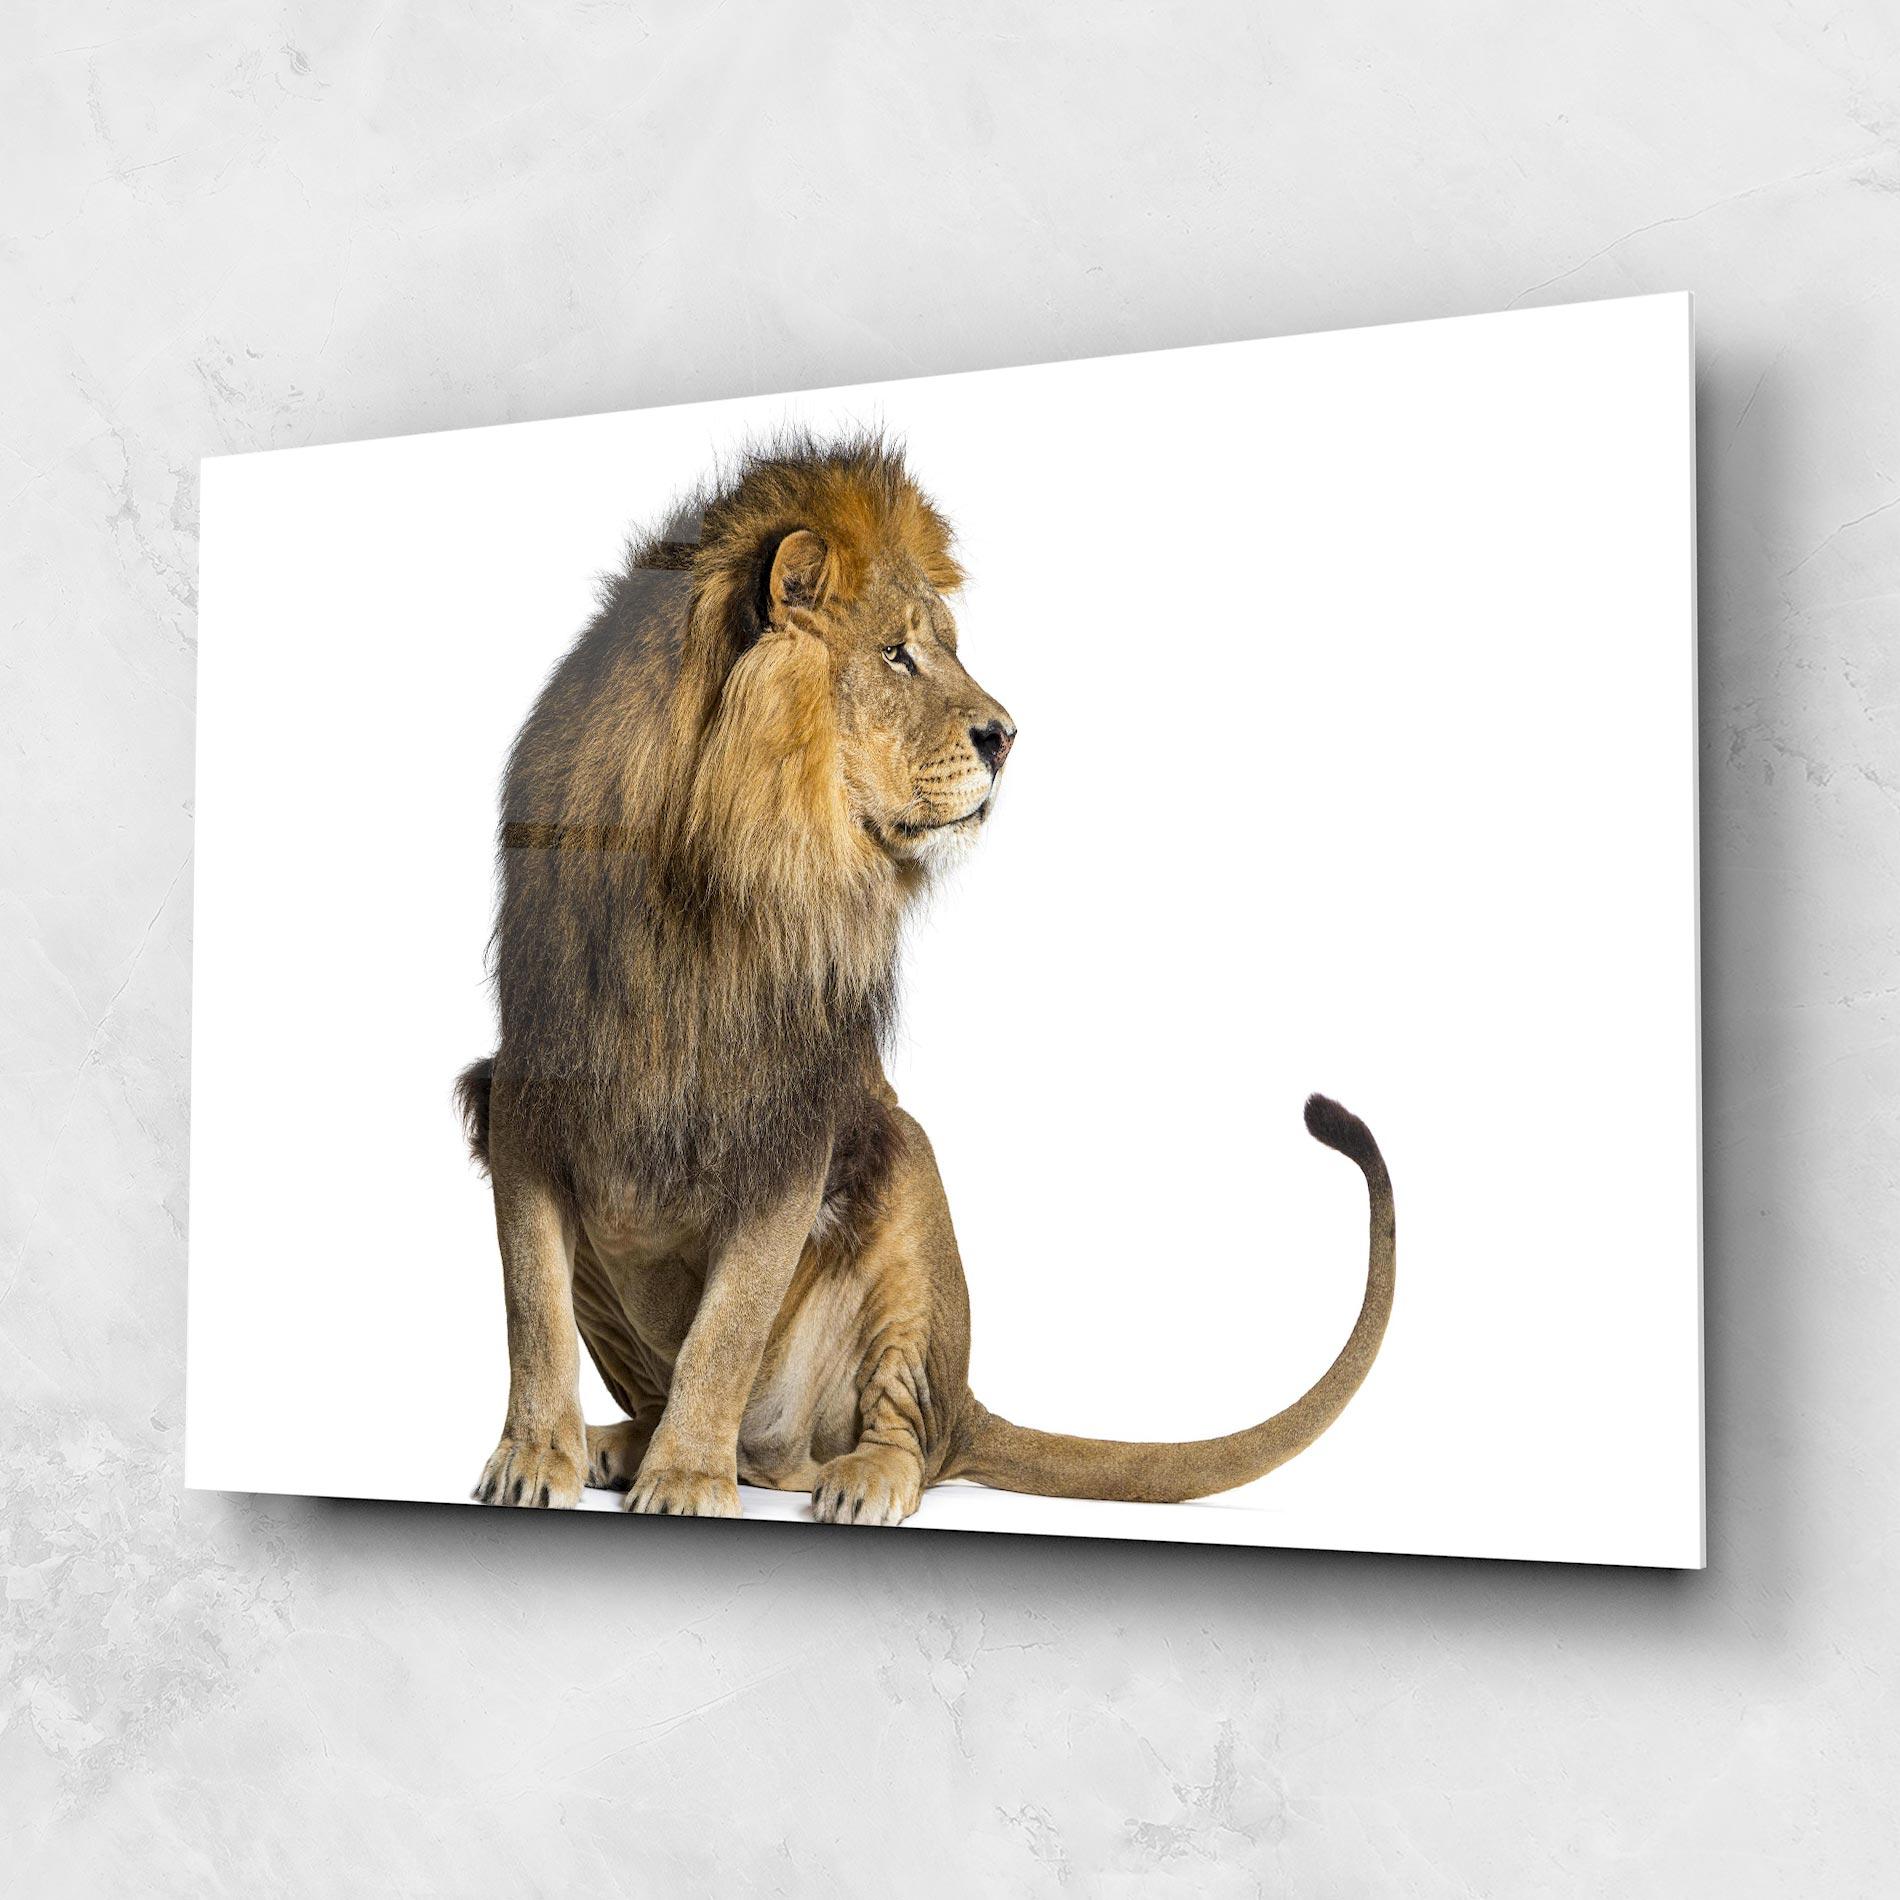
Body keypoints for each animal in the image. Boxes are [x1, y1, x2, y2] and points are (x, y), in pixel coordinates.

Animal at [457, 433, 1395, 1524]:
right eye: (898, 654)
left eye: (944, 646)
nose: (1008, 736)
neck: (706, 881)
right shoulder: (525, 1092)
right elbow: (533, 1308)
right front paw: (534, 1457)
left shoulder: (794, 1121)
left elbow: (724, 1330)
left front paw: (685, 1478)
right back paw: (620, 1443)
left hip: (903, 1179)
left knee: (890, 1432)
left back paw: (849, 1476)